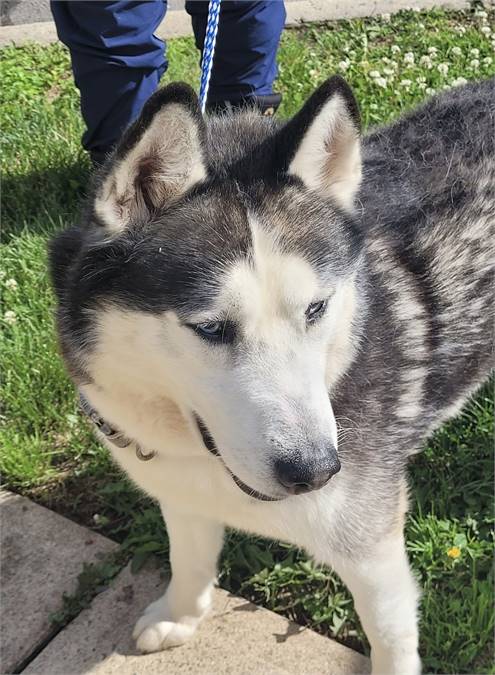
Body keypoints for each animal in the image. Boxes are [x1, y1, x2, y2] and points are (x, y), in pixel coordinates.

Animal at [51, 76, 495, 672]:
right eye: (211, 328)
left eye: (316, 308)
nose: (315, 472)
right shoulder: (182, 494)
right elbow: (188, 559)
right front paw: (181, 615)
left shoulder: (370, 543)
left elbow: (389, 634)